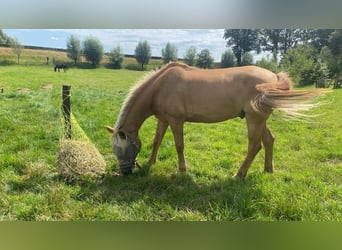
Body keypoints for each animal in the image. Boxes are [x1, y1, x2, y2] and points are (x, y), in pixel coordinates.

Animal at [105, 61, 328, 177]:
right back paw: (268, 169)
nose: (125, 172)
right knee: (269, 140)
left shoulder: (176, 121)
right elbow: (156, 141)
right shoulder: (164, 119)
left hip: (254, 119)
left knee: (255, 145)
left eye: (122, 148)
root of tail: (274, 77)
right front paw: (151, 163)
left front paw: (182, 169)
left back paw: (239, 175)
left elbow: (179, 145)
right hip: (260, 120)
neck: (160, 86)